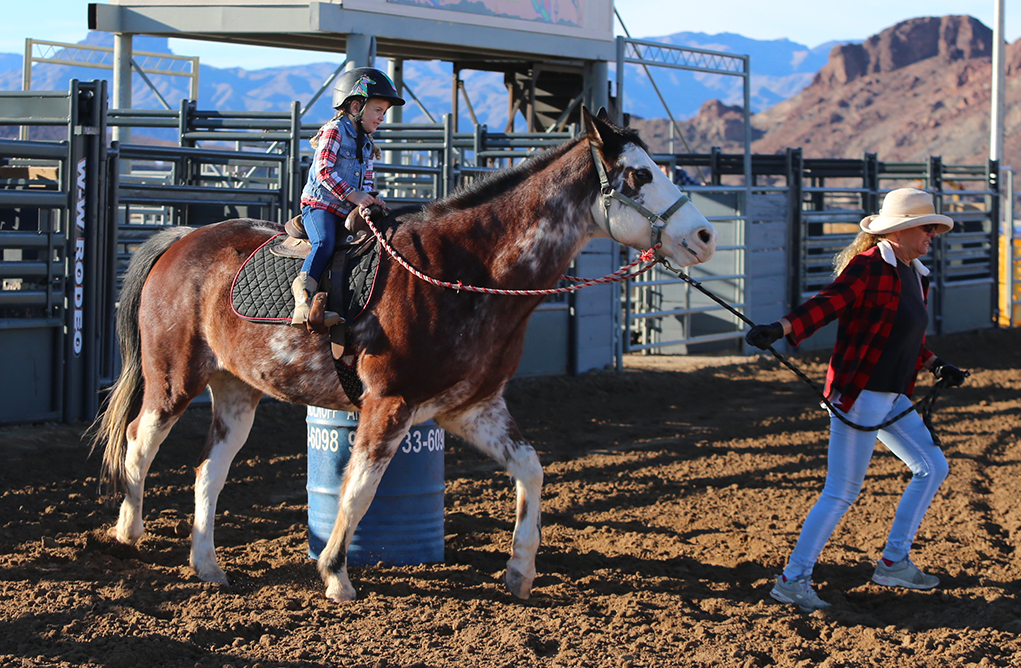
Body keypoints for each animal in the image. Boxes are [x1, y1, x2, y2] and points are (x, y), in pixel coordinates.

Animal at [93, 107, 718, 604]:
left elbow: (532, 470)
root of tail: (181, 239)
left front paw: (519, 571)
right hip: (172, 379)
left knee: (209, 471)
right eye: (638, 174)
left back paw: (206, 565)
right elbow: (359, 489)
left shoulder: (472, 407)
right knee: (139, 444)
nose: (706, 236)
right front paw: (336, 575)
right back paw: (128, 533)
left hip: (237, 391)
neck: (464, 271)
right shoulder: (388, 404)